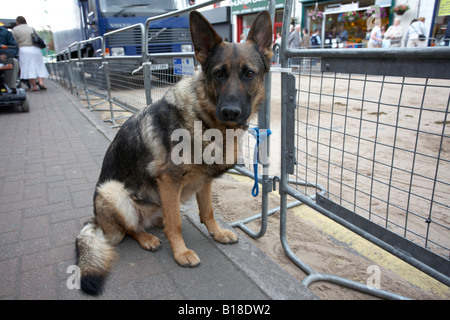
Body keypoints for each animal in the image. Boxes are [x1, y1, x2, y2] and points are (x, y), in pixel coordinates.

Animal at [75, 9, 272, 296]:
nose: (230, 112)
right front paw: (180, 254)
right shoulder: (169, 180)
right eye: (219, 74)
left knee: (160, 219)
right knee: (131, 229)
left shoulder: (204, 180)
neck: (207, 121)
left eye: (249, 73)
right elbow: (176, 224)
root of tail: (97, 221)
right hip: (112, 192)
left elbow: (207, 212)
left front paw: (217, 233)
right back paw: (147, 238)